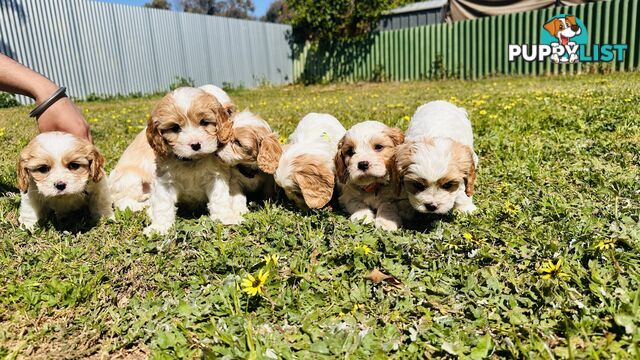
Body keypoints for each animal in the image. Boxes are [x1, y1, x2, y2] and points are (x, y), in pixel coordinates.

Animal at [142, 86, 242, 235]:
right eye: (175, 128)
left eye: (204, 122)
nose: (195, 145)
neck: (192, 161)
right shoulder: (165, 181)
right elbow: (163, 204)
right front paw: (160, 227)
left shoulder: (216, 176)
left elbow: (219, 198)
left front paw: (225, 218)